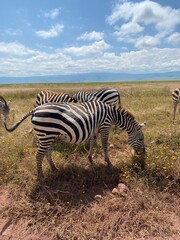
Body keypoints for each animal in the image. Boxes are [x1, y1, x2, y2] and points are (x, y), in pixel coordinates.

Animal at [2, 100, 145, 179]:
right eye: (141, 139)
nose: (143, 153)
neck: (112, 114)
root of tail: (35, 109)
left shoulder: (95, 129)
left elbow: (92, 143)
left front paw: (90, 158)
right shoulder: (105, 126)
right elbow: (104, 145)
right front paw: (109, 162)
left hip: (47, 136)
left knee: (46, 153)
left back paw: (54, 168)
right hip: (46, 135)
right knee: (39, 155)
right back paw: (41, 176)